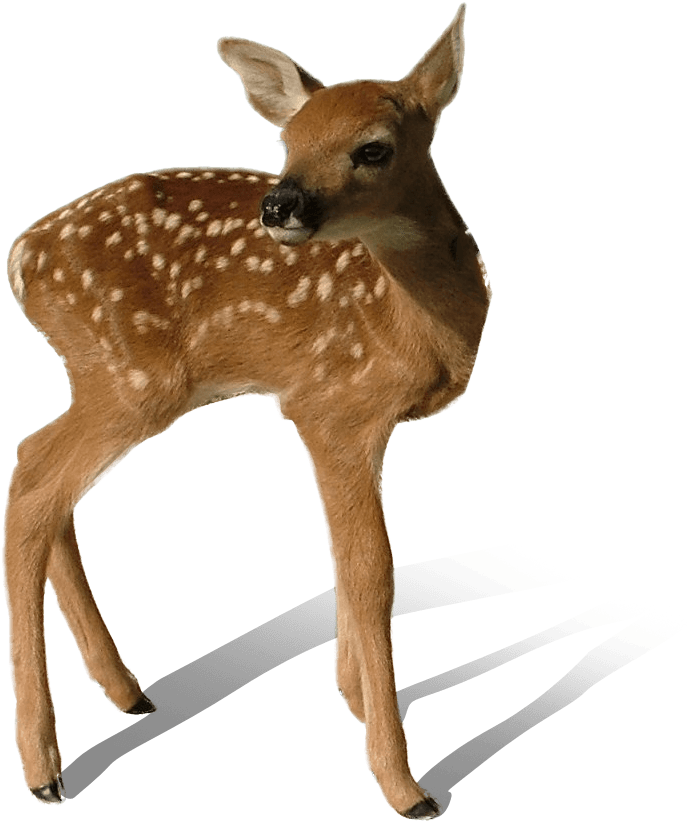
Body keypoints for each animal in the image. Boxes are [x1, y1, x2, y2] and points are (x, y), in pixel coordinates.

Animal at [4, 5, 490, 817]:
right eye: (286, 143)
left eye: (372, 148)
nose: (279, 204)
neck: (415, 319)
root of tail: (20, 259)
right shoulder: (332, 407)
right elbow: (372, 571)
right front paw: (402, 783)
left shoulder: (345, 420)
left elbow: (342, 555)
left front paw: (351, 696)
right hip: (134, 379)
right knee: (34, 486)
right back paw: (44, 769)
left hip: (102, 377)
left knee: (39, 474)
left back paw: (127, 693)